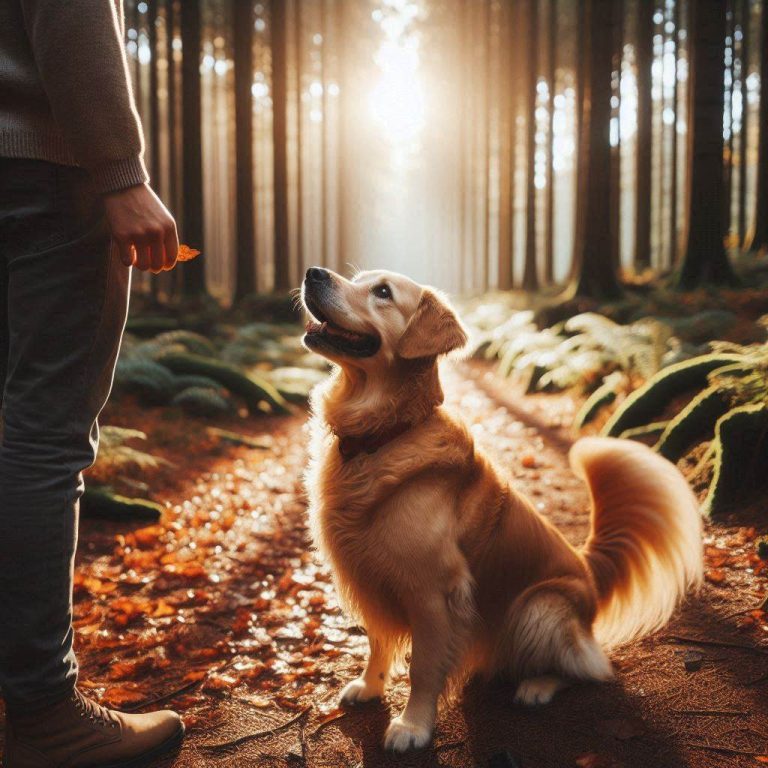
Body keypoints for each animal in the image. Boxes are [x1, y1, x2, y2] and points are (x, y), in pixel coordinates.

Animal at [298, 268, 704, 752]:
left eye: (382, 292)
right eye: (358, 279)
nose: (312, 274)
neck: (386, 435)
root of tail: (587, 569)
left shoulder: (433, 591)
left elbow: (422, 667)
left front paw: (413, 726)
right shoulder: (371, 574)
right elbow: (377, 641)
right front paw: (369, 686)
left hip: (538, 607)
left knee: (590, 667)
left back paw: (537, 686)